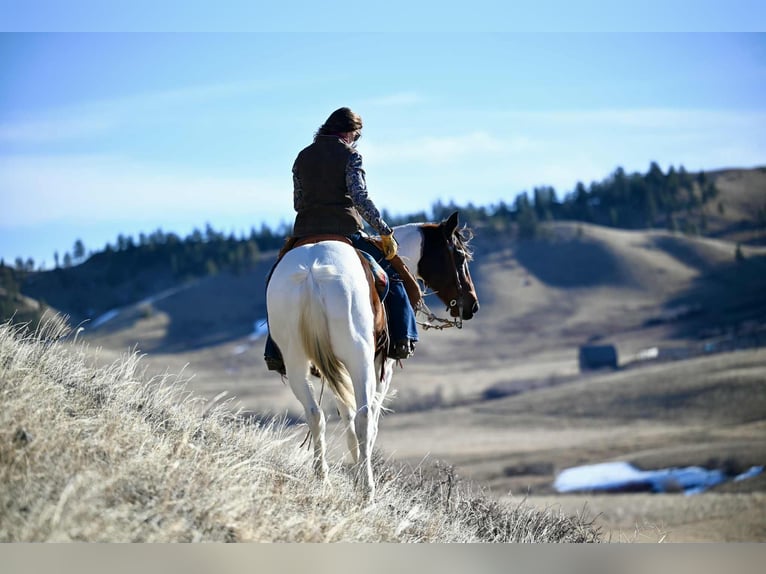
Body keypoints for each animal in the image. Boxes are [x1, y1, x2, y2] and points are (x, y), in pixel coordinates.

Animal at [265, 211, 478, 502]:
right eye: (459, 256)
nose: (472, 305)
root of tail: (312, 274)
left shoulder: (333, 369)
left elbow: (346, 415)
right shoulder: (382, 367)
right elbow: (369, 421)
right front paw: (360, 474)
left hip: (296, 361)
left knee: (315, 414)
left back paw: (324, 479)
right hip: (360, 359)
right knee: (364, 418)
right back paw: (368, 490)